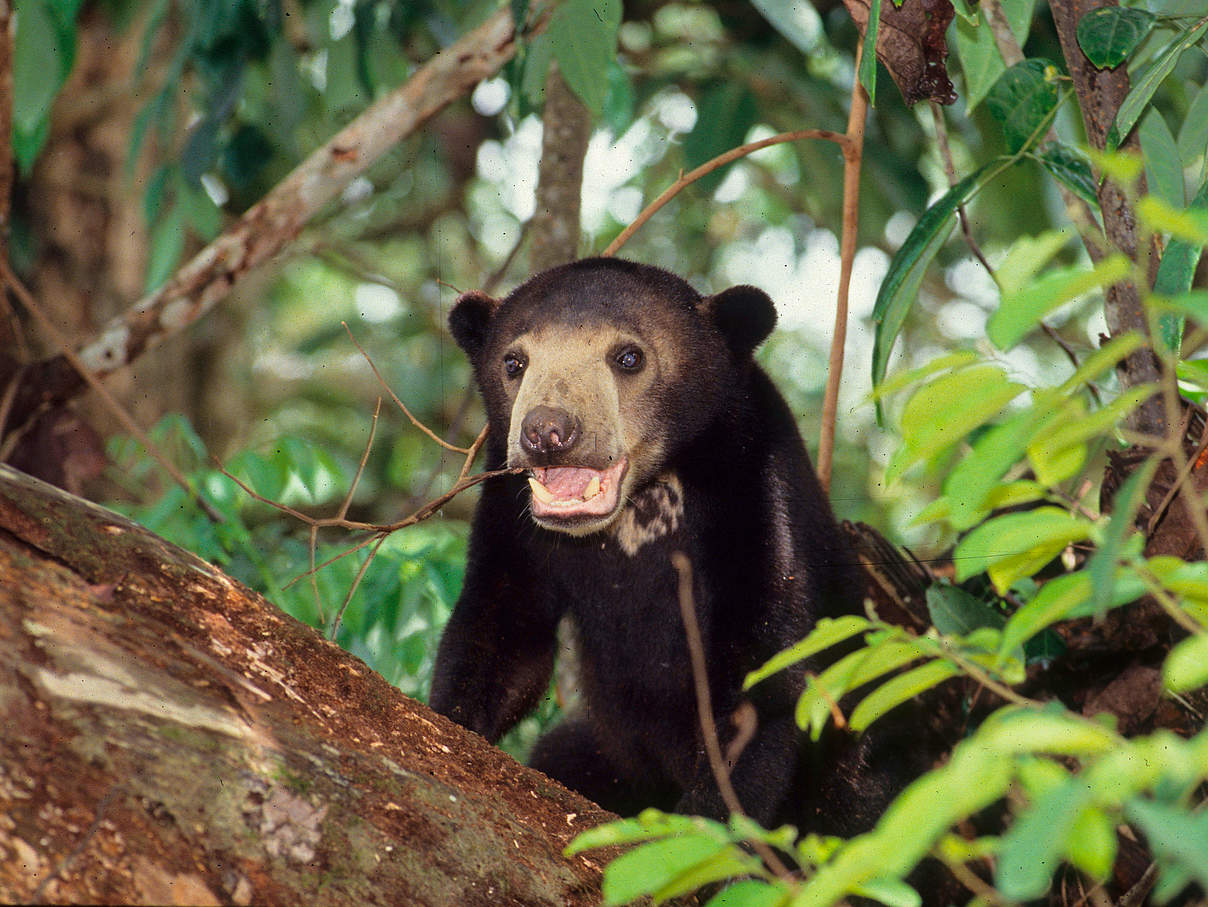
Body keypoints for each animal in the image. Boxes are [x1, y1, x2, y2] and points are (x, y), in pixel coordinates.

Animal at [430, 257, 908, 835]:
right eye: (514, 361)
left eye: (628, 357)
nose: (547, 431)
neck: (641, 508)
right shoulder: (512, 510)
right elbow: (502, 625)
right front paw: (455, 717)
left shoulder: (754, 498)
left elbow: (764, 675)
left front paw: (701, 830)